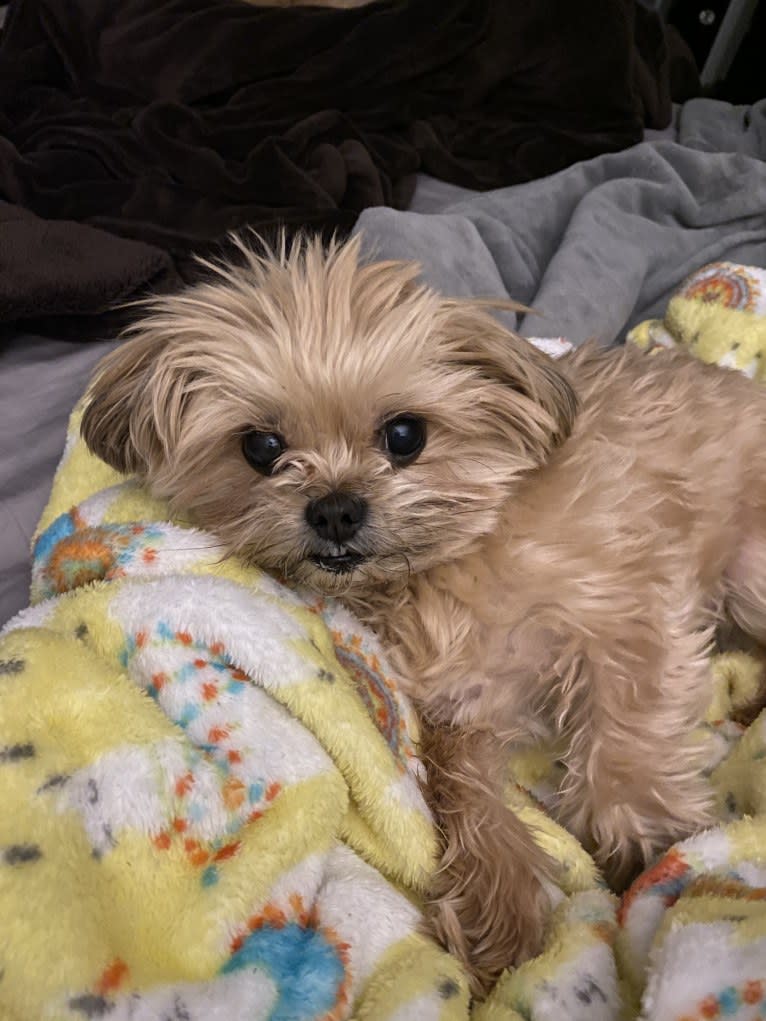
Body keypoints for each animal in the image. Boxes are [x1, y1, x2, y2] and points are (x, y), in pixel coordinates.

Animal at [81, 234, 766, 992]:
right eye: (260, 447)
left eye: (405, 434)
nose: (335, 509)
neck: (439, 570)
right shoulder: (461, 706)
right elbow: (465, 793)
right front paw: (500, 907)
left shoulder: (630, 606)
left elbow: (627, 730)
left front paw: (647, 842)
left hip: (750, 570)